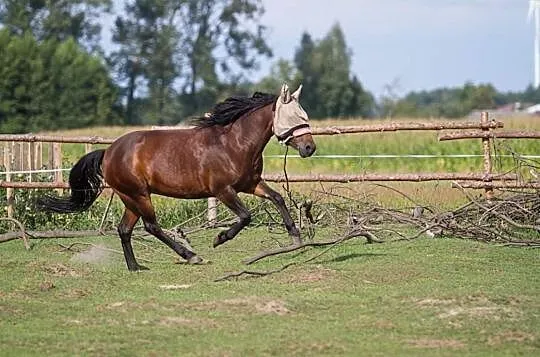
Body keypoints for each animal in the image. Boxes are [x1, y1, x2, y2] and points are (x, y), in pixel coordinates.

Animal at [38, 84, 316, 270]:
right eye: (295, 117)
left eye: (305, 116)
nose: (309, 148)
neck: (234, 143)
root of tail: (109, 151)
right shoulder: (223, 190)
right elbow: (246, 216)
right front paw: (219, 239)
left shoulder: (250, 184)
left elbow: (278, 198)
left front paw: (295, 236)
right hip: (139, 195)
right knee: (150, 226)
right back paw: (191, 256)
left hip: (130, 198)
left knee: (124, 229)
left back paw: (135, 267)